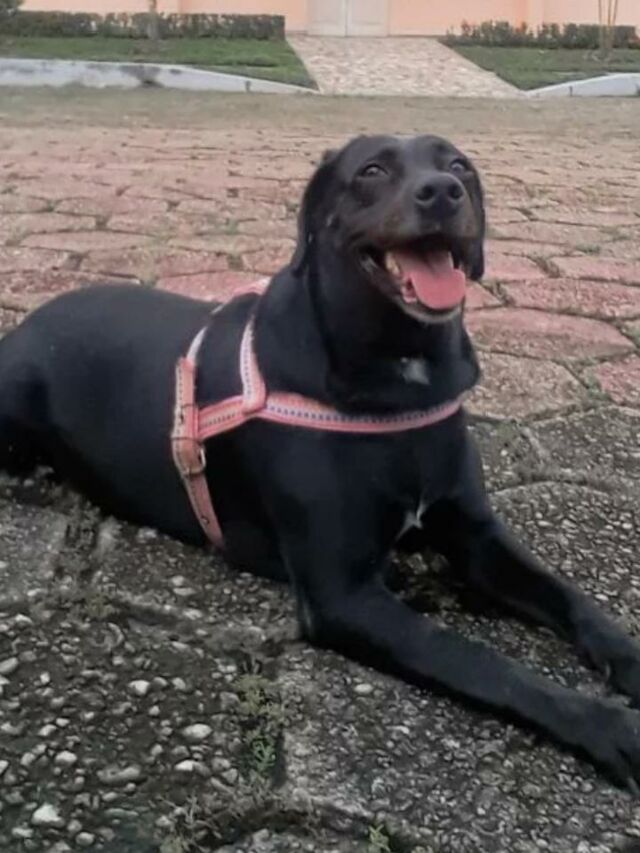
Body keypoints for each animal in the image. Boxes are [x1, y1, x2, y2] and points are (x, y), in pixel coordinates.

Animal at [2, 134, 640, 789]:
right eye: (372, 170)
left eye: (459, 165)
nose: (442, 191)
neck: (402, 376)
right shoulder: (345, 595)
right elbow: (483, 661)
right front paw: (605, 724)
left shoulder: (476, 536)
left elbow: (570, 597)